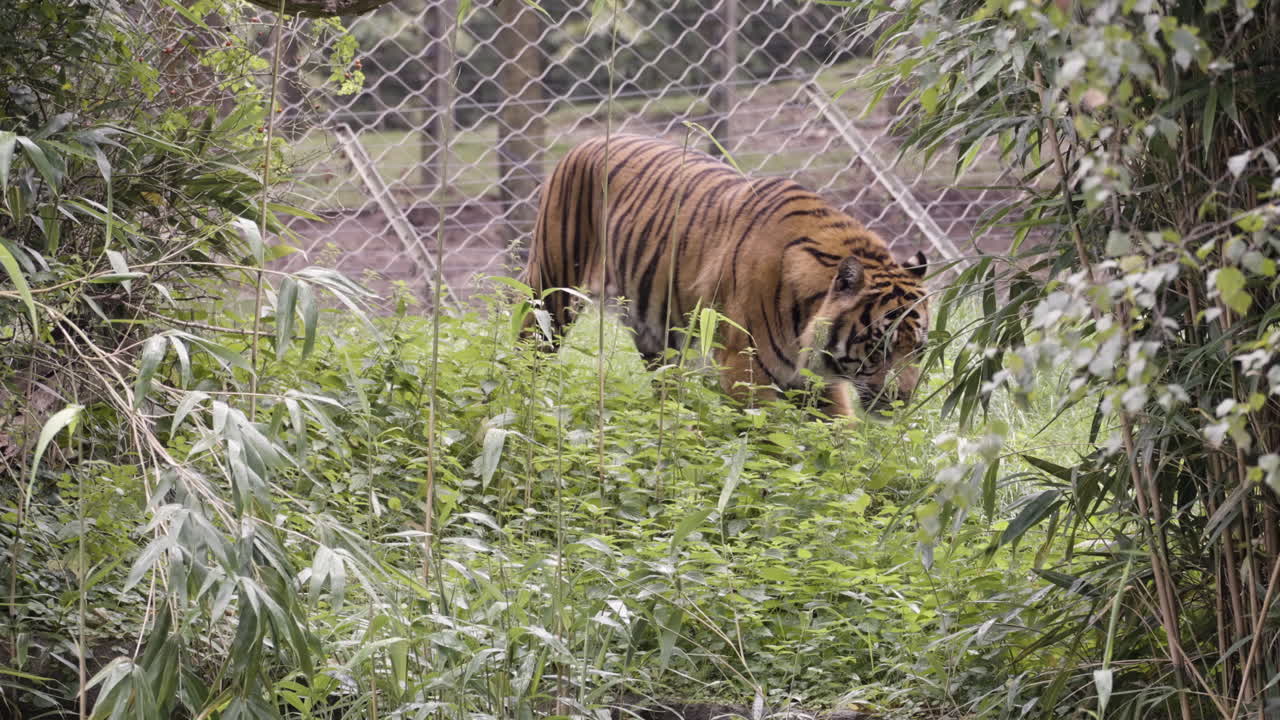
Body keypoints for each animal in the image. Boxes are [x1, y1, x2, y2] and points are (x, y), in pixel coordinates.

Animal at [518, 134, 930, 417]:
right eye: (878, 346)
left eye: (920, 349)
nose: (903, 400)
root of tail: (583, 142)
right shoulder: (744, 370)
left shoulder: (818, 380)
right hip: (551, 293)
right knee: (529, 347)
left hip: (657, 333)